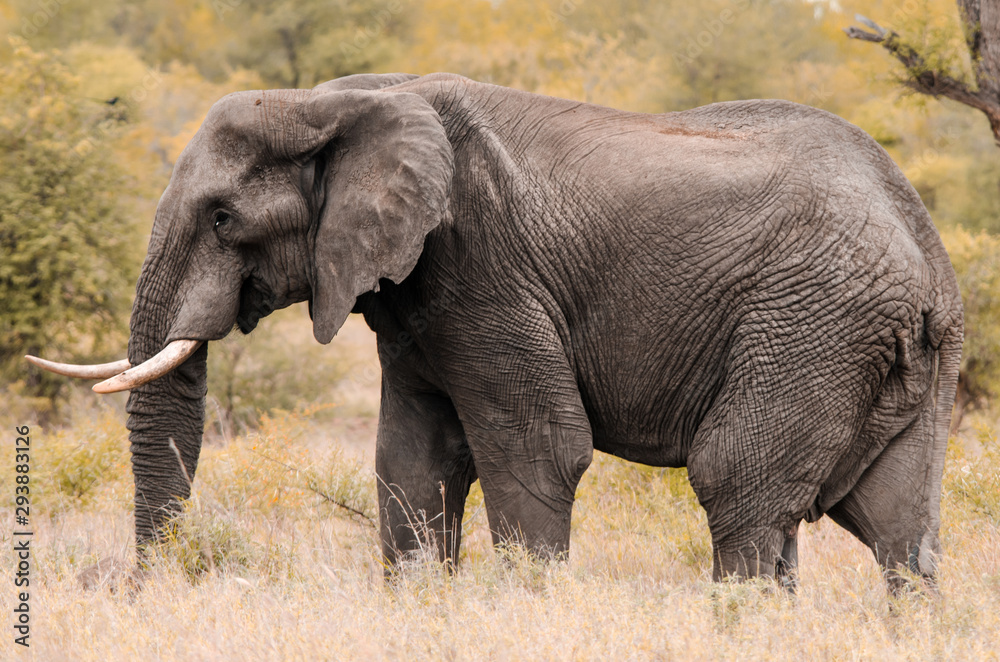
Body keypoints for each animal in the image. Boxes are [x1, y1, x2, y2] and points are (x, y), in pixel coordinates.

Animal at [30, 72, 963, 590]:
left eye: (224, 219)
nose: (145, 590)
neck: (335, 102)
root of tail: (928, 254)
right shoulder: (413, 297)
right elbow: (413, 460)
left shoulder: (483, 266)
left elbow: (540, 449)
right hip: (886, 354)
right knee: (895, 528)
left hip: (810, 322)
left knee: (738, 484)